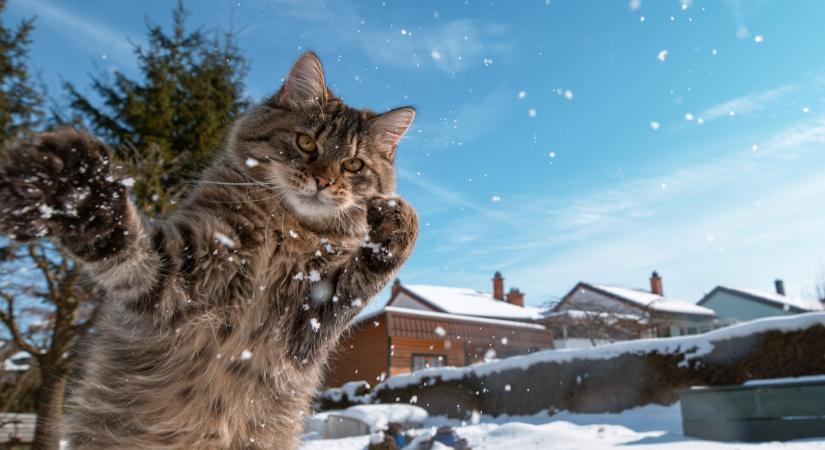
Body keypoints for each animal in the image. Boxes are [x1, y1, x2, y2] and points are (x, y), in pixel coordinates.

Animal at [0, 53, 418, 450]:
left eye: (353, 164)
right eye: (306, 142)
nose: (323, 180)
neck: (287, 233)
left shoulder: (310, 326)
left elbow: (361, 281)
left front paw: (399, 221)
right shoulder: (178, 275)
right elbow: (124, 243)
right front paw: (75, 190)